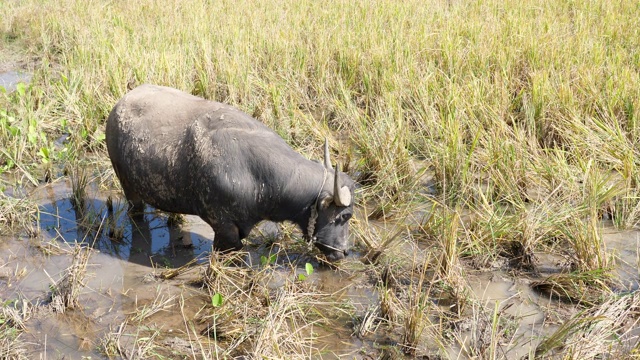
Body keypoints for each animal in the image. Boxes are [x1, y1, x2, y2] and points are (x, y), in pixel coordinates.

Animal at [105, 84, 356, 262]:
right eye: (345, 216)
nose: (344, 252)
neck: (257, 177)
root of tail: (118, 106)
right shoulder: (224, 229)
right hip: (127, 184)